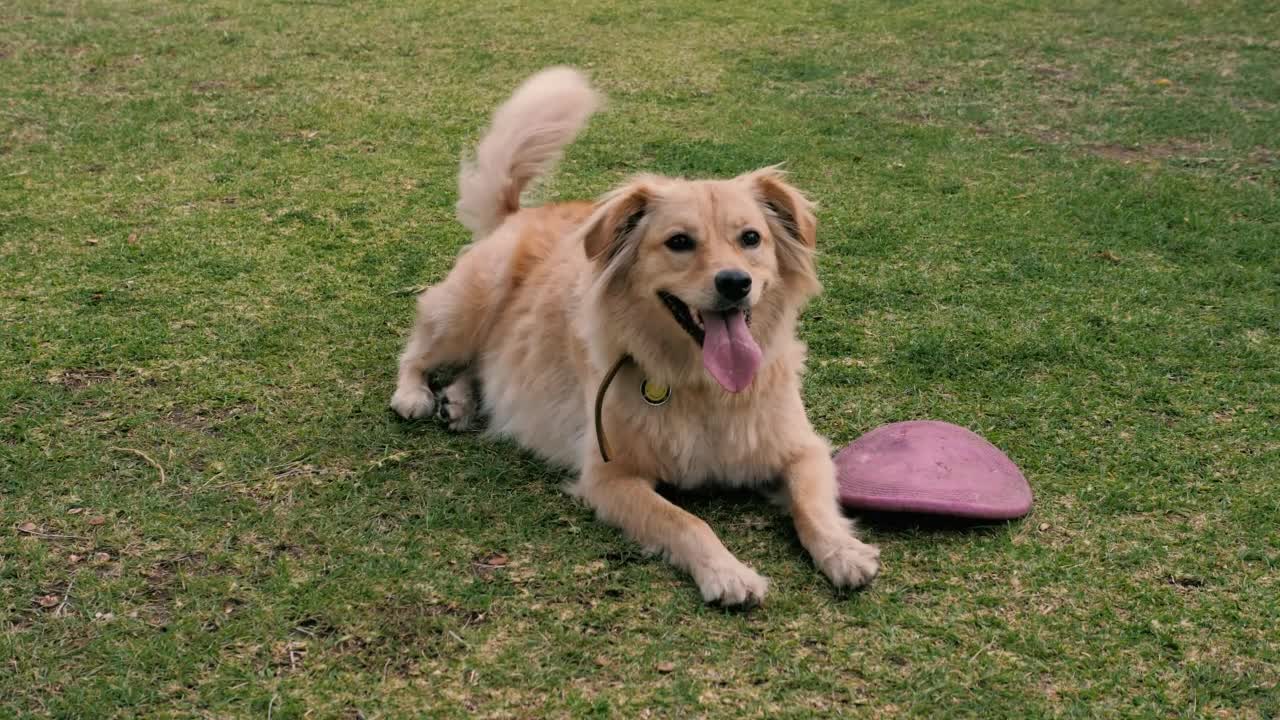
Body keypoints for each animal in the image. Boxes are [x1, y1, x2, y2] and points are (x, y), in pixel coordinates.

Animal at [389, 68, 880, 604]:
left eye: (751, 238)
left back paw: (459, 402)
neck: (701, 386)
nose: (735, 283)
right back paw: (415, 394)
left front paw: (842, 551)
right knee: (419, 348)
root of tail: (519, 213)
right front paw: (727, 572)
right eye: (679, 242)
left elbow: (812, 505)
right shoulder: (610, 476)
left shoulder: (801, 449)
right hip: (468, 306)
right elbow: (685, 522)